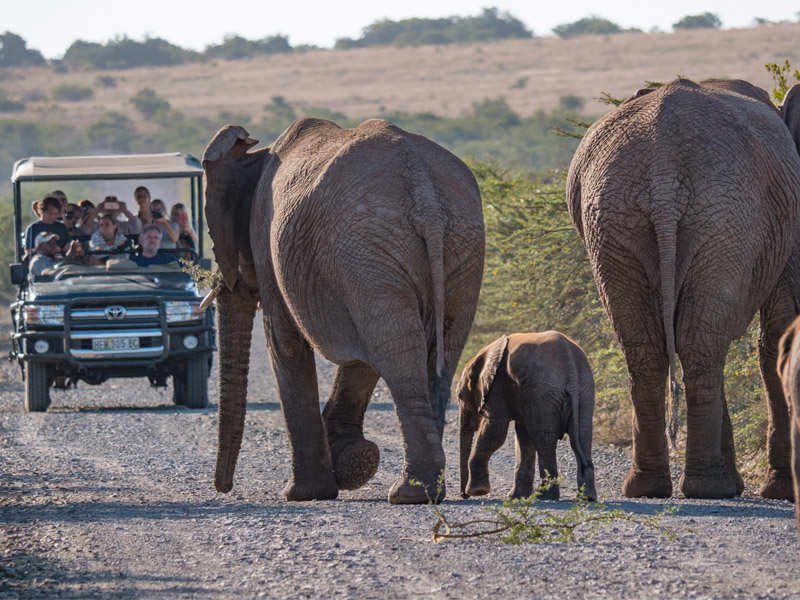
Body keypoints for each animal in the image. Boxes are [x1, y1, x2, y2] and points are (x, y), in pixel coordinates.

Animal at [203, 116, 484, 502]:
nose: (224, 488)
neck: (257, 155)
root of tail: (423, 190)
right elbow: (360, 354)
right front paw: (352, 463)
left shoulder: (268, 245)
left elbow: (285, 343)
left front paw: (304, 493)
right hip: (457, 244)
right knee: (431, 350)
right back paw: (427, 491)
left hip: (368, 247)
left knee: (397, 352)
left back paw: (408, 494)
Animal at [456, 332, 592, 502]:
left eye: (460, 396)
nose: (464, 495)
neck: (485, 353)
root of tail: (570, 363)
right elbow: (523, 437)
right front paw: (515, 497)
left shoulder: (498, 386)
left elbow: (495, 431)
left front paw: (478, 491)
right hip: (584, 390)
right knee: (582, 437)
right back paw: (587, 498)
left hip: (542, 392)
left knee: (544, 440)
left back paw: (546, 496)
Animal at [564, 78, 800, 502]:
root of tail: (663, 160)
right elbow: (779, 330)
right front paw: (781, 492)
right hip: (721, 215)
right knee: (699, 345)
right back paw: (711, 488)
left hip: (616, 217)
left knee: (652, 346)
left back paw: (651, 486)